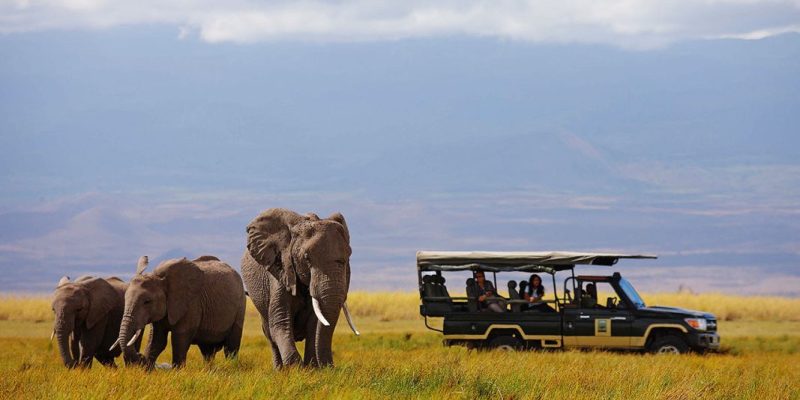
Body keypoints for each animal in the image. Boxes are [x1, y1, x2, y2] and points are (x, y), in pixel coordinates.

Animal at [117, 256, 245, 368]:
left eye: (147, 302)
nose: (140, 356)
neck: (160, 278)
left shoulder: (191, 304)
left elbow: (179, 340)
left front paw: (177, 372)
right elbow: (156, 341)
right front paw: (147, 370)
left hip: (240, 306)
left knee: (231, 347)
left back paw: (231, 367)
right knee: (207, 351)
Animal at [241, 209, 360, 368]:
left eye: (348, 258)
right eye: (306, 258)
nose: (330, 366)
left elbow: (314, 325)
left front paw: (312, 369)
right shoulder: (280, 270)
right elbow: (280, 321)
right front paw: (295, 368)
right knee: (269, 333)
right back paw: (279, 369)